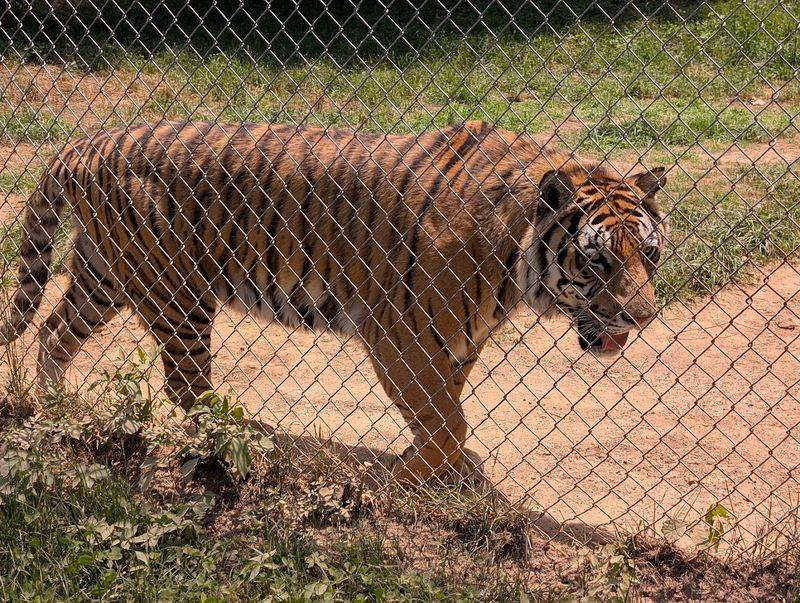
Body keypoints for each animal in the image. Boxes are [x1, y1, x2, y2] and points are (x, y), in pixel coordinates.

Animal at [0, 120, 667, 484]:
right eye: (598, 260)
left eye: (650, 254)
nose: (641, 318)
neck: (515, 266)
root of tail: (85, 141)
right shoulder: (401, 334)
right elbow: (447, 418)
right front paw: (408, 477)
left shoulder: (458, 340)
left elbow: (448, 409)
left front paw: (444, 473)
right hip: (177, 293)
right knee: (186, 389)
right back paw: (235, 440)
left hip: (104, 278)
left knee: (53, 333)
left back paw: (60, 411)